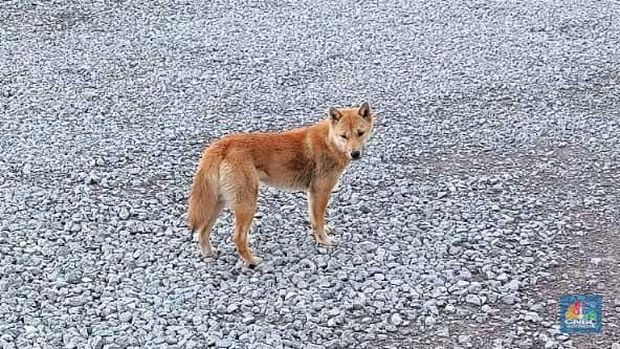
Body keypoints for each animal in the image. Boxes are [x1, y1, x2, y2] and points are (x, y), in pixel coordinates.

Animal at [186, 100, 376, 266]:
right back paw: (251, 261)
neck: (330, 141)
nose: (355, 153)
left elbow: (315, 220)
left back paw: (209, 253)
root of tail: (222, 145)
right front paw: (324, 241)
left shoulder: (313, 194)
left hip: (219, 202)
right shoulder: (321, 191)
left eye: (360, 133)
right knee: (237, 238)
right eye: (344, 136)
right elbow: (319, 221)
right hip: (247, 204)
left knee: (203, 231)